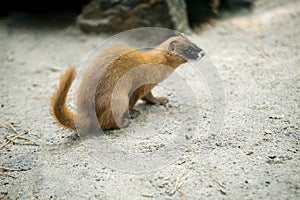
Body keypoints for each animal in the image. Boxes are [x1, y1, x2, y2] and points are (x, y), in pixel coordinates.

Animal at [51, 35, 205, 134]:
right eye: (189, 49)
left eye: (194, 43)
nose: (203, 52)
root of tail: (86, 113)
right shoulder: (138, 86)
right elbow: (136, 100)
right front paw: (133, 113)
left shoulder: (146, 86)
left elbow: (149, 97)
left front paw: (161, 100)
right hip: (118, 97)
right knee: (106, 122)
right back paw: (124, 122)